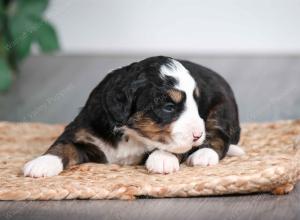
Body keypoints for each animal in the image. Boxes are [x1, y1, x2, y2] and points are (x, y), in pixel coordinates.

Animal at [22, 56, 244, 177]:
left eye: (197, 104)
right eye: (169, 107)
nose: (197, 135)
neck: (130, 134)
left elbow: (175, 148)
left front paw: (163, 158)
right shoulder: (83, 130)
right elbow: (63, 145)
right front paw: (42, 163)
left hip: (221, 109)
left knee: (219, 135)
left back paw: (203, 155)